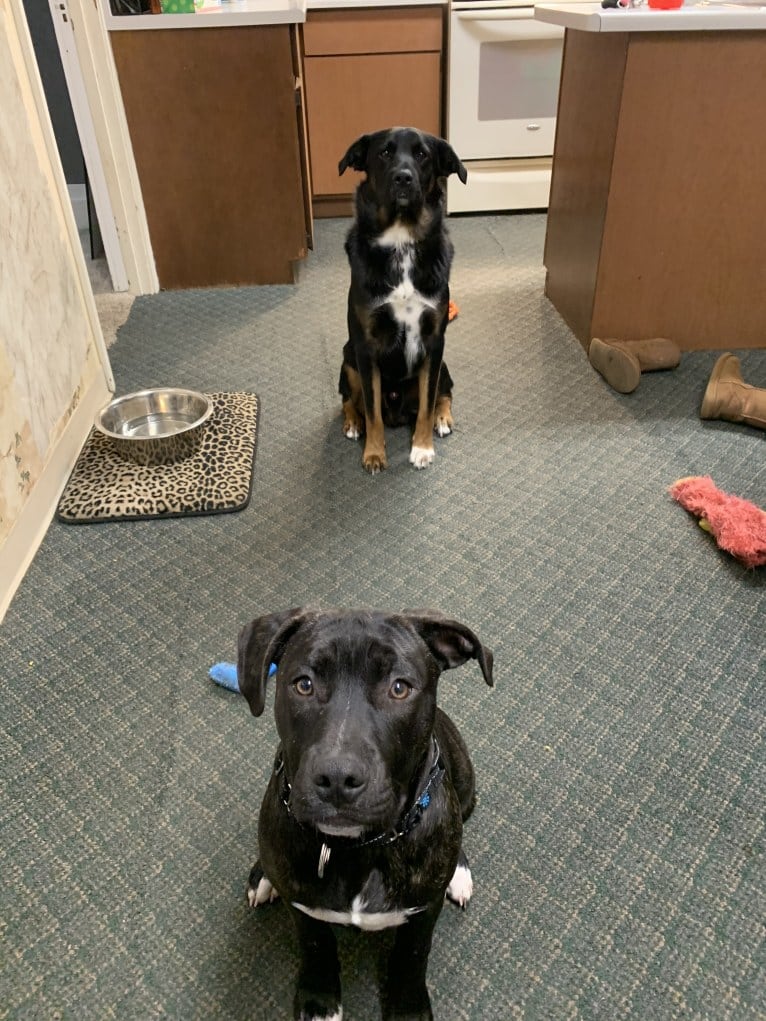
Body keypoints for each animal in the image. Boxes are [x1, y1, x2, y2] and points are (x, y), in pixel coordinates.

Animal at [236, 608, 494, 1016]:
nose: (338, 778)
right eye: (304, 684)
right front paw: (319, 1002)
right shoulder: (303, 910)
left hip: (466, 784)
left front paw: (408, 1009)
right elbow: (316, 948)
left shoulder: (423, 915)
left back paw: (458, 872)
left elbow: (412, 956)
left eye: (399, 688)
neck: (356, 848)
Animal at [341, 127, 467, 473]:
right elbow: (373, 412)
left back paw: (442, 418)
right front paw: (374, 453)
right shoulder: (365, 345)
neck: (401, 241)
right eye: (384, 153)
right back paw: (353, 423)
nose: (403, 178)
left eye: (422, 154)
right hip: (348, 358)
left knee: (444, 393)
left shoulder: (434, 341)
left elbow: (426, 402)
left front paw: (422, 447)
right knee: (349, 401)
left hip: (443, 363)